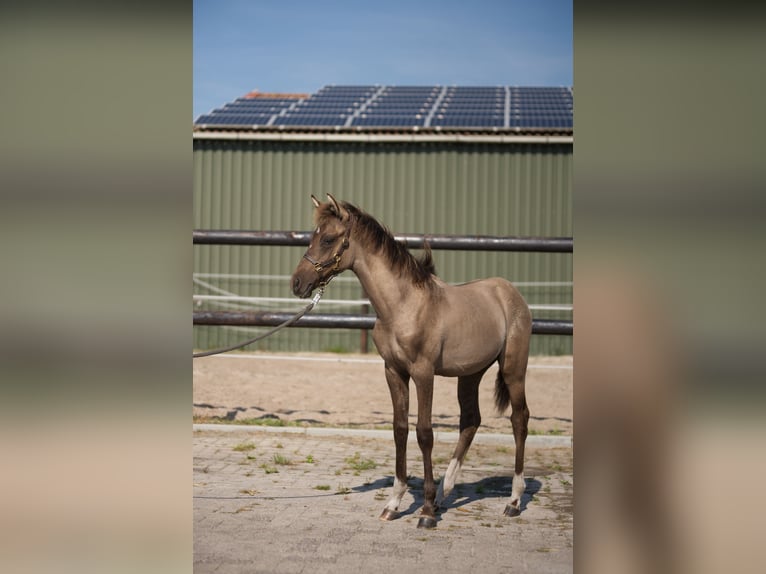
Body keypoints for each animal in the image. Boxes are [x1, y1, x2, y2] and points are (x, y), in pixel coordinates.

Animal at [294, 195, 536, 532]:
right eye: (313, 236)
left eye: (328, 239)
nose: (297, 283)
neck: (403, 306)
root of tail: (510, 292)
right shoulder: (393, 372)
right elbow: (399, 430)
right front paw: (394, 504)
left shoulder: (423, 373)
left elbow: (424, 433)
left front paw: (426, 512)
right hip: (471, 373)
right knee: (471, 420)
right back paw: (446, 493)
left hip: (513, 369)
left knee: (519, 419)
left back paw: (512, 501)